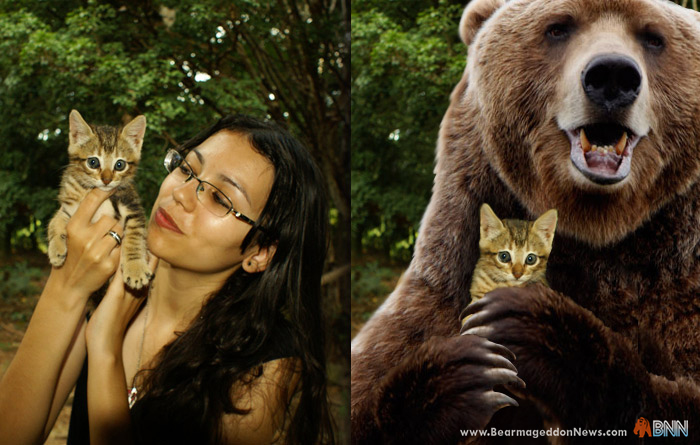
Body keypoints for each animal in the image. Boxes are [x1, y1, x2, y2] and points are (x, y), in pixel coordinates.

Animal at [352, 0, 700, 440]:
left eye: (654, 38)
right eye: (558, 27)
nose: (612, 76)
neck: (597, 227)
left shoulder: (676, 292)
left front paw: (527, 327)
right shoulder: (438, 290)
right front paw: (461, 376)